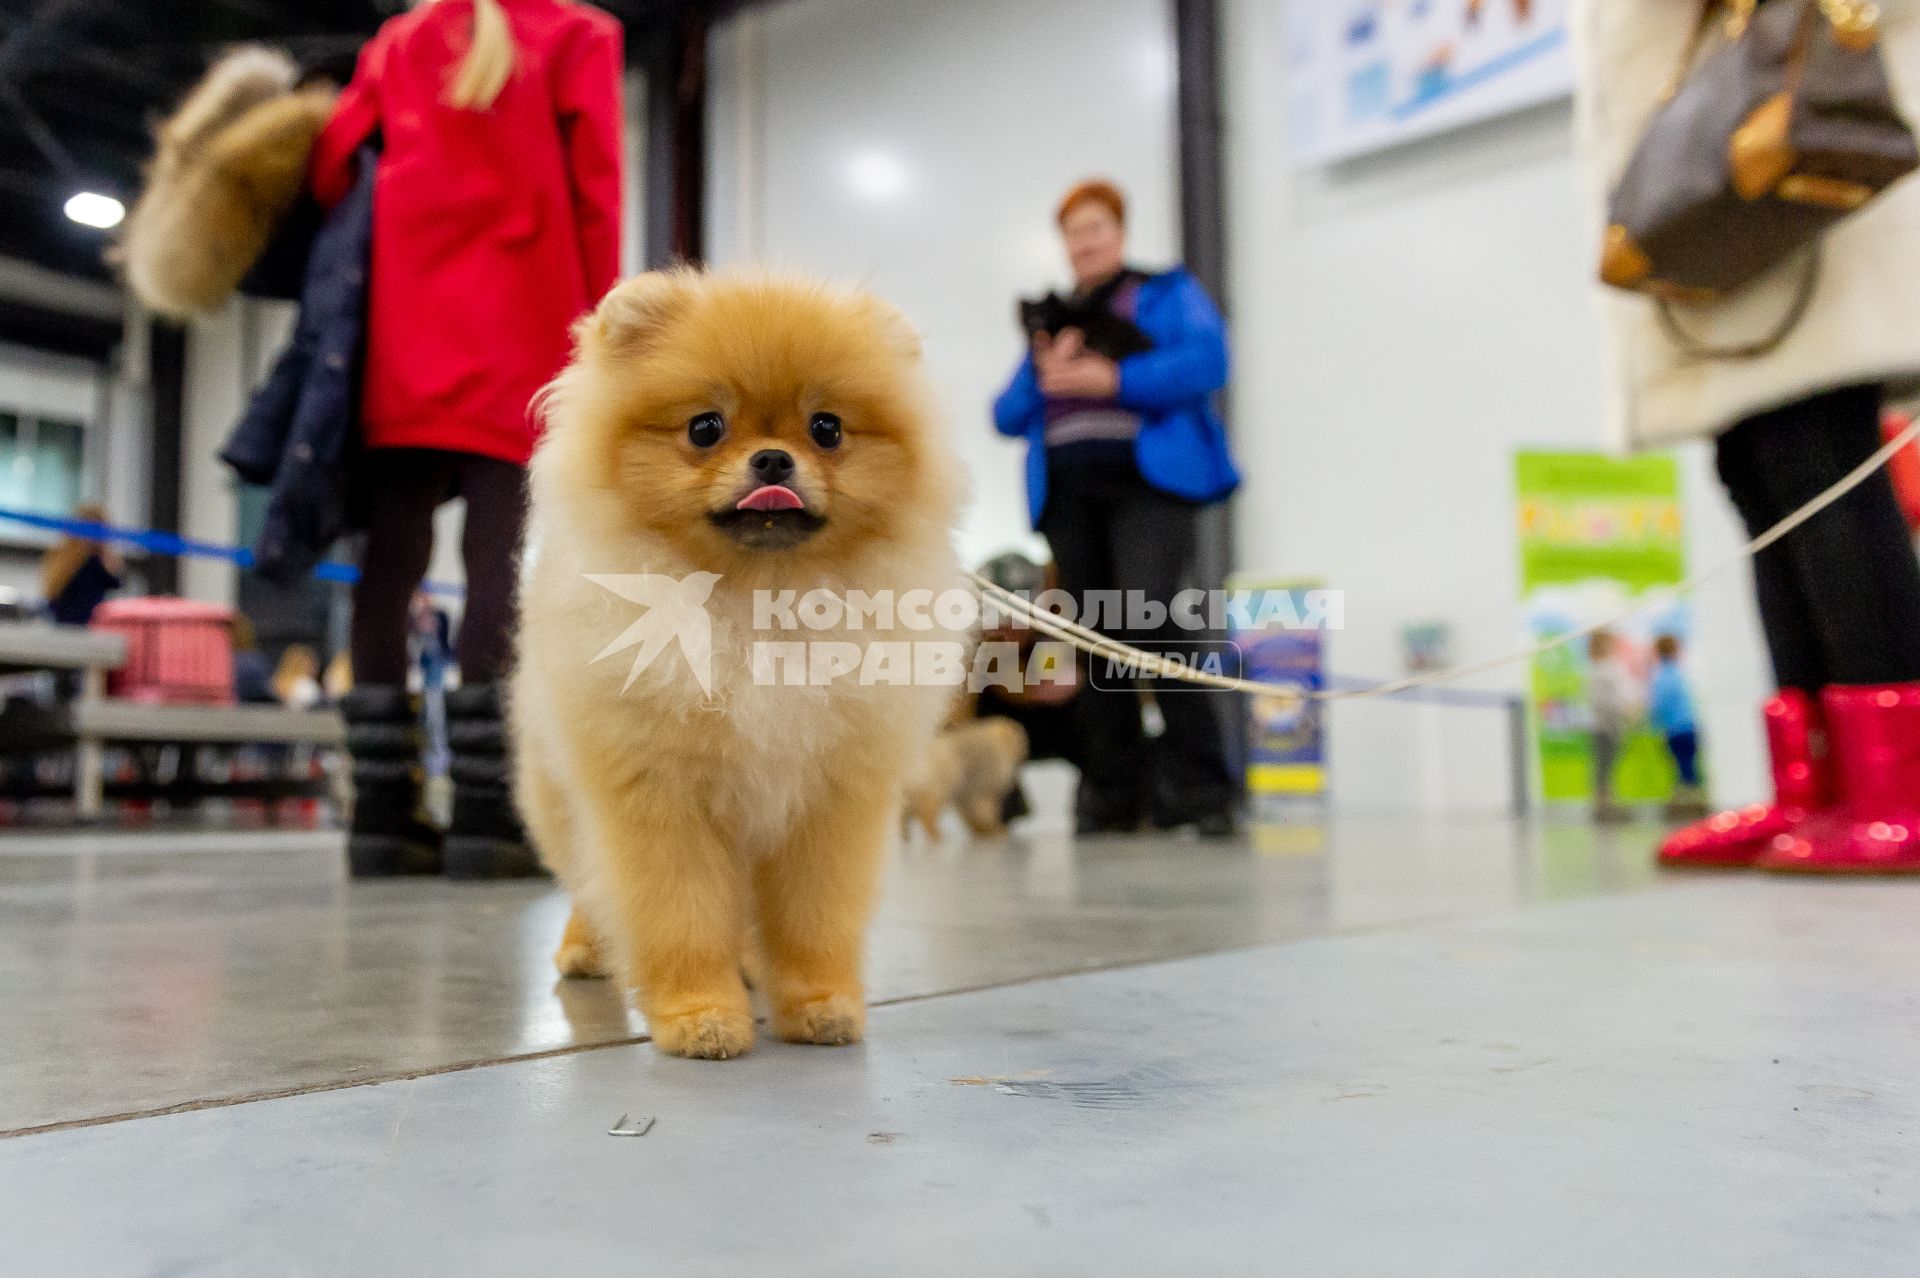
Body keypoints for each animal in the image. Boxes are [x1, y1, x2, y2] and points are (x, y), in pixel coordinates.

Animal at [510, 266, 967, 1051]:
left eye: (827, 428)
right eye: (705, 427)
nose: (774, 458)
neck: (759, 601)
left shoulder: (829, 801)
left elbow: (814, 916)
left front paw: (818, 1003)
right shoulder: (660, 797)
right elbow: (680, 914)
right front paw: (700, 1016)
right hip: (560, 793)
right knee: (587, 881)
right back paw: (586, 949)